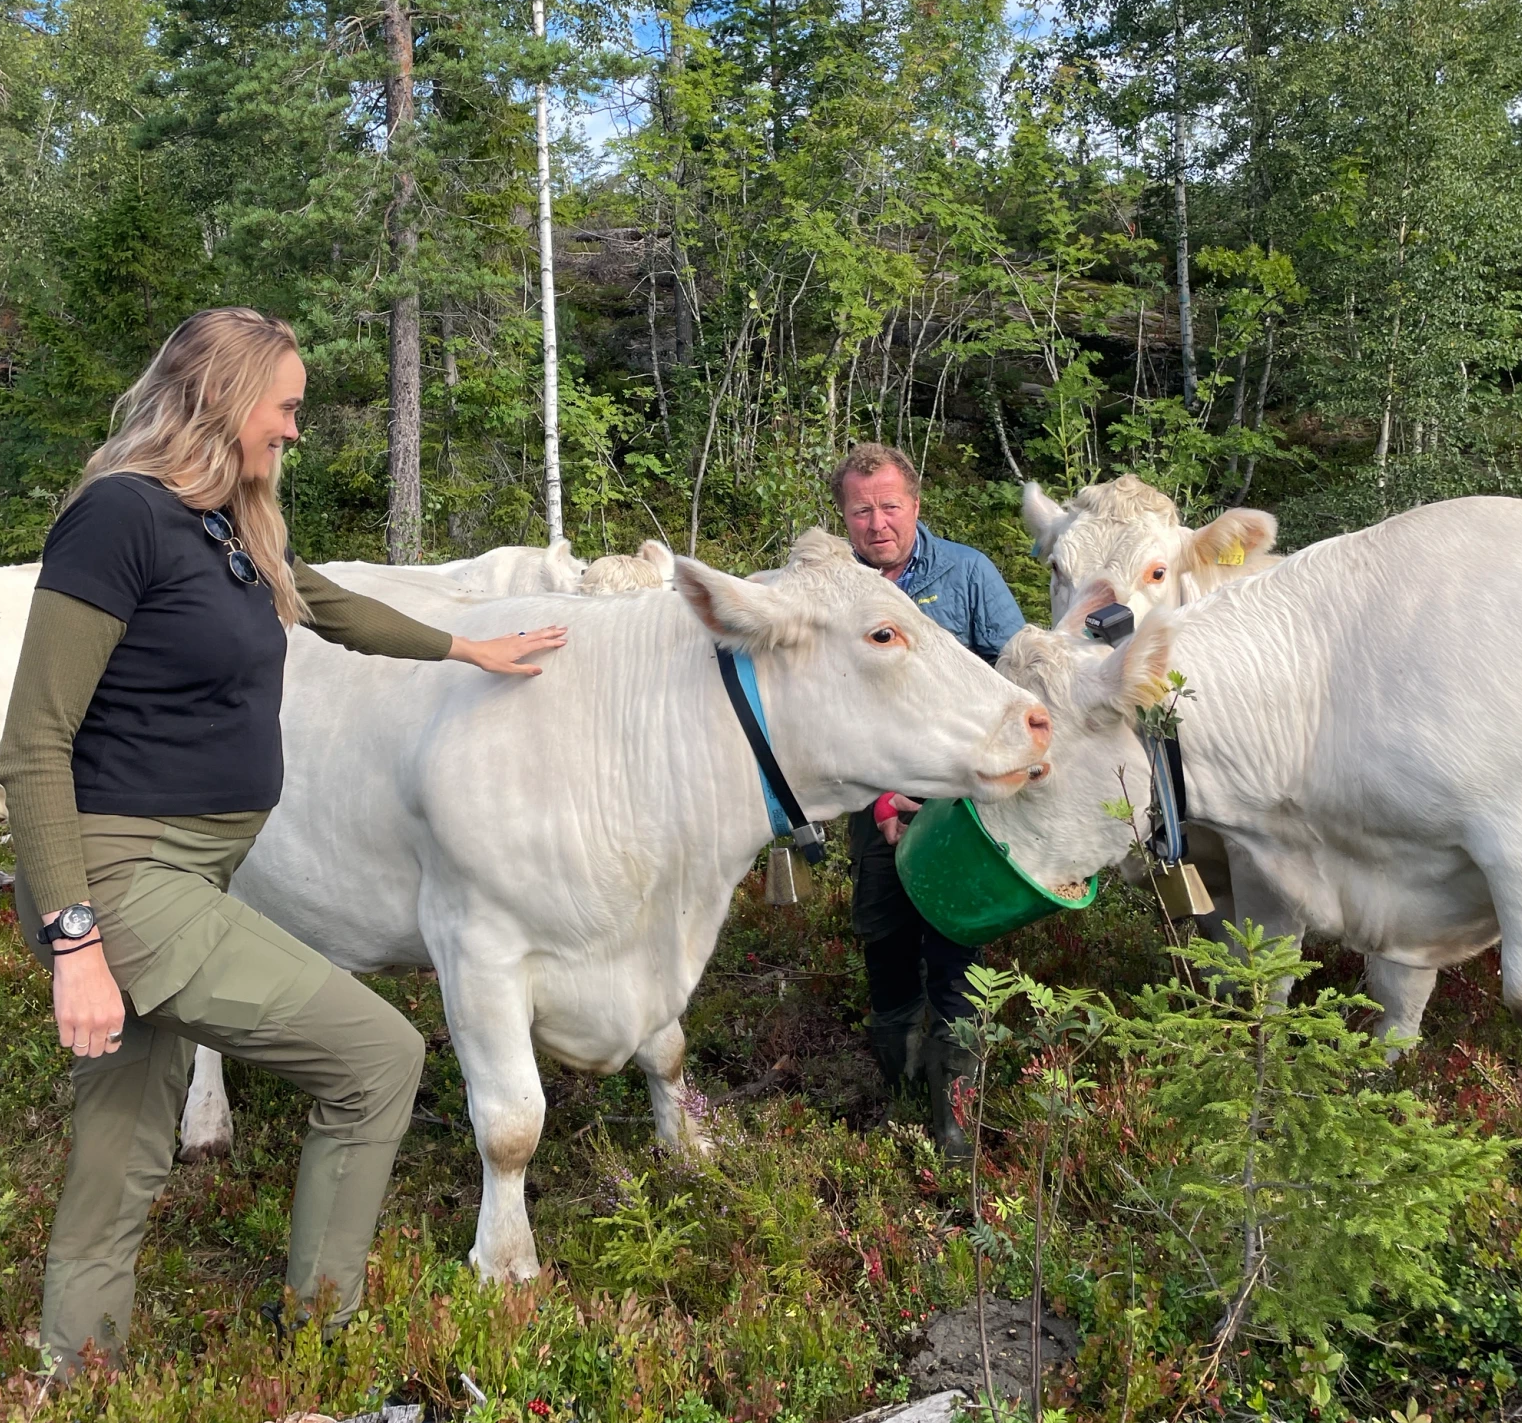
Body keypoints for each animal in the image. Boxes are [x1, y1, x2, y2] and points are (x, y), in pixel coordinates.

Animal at [176, 529, 1052, 1281]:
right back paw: (206, 1122)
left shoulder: (653, 940)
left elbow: (667, 1050)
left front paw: (687, 1144)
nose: (1037, 719)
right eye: (882, 634)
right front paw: (505, 1260)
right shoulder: (476, 947)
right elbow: (511, 1123)